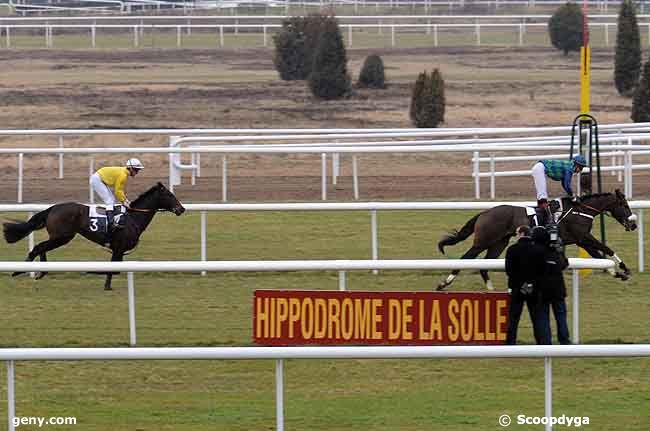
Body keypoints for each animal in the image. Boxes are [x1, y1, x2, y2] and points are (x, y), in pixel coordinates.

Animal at [3, 182, 185, 290]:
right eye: (169, 195)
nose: (181, 209)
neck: (133, 218)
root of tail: (53, 208)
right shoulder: (118, 248)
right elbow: (112, 269)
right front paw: (96, 275)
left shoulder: (118, 250)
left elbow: (115, 270)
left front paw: (104, 281)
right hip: (62, 237)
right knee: (38, 247)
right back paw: (21, 270)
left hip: (59, 237)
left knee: (41, 247)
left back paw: (40, 271)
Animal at [432, 191, 636, 292]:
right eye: (624, 205)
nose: (633, 224)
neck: (581, 210)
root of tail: (485, 212)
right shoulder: (584, 237)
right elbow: (606, 249)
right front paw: (625, 269)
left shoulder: (582, 240)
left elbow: (600, 256)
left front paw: (618, 273)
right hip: (484, 240)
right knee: (465, 258)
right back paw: (444, 283)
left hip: (499, 242)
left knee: (485, 263)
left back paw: (490, 288)